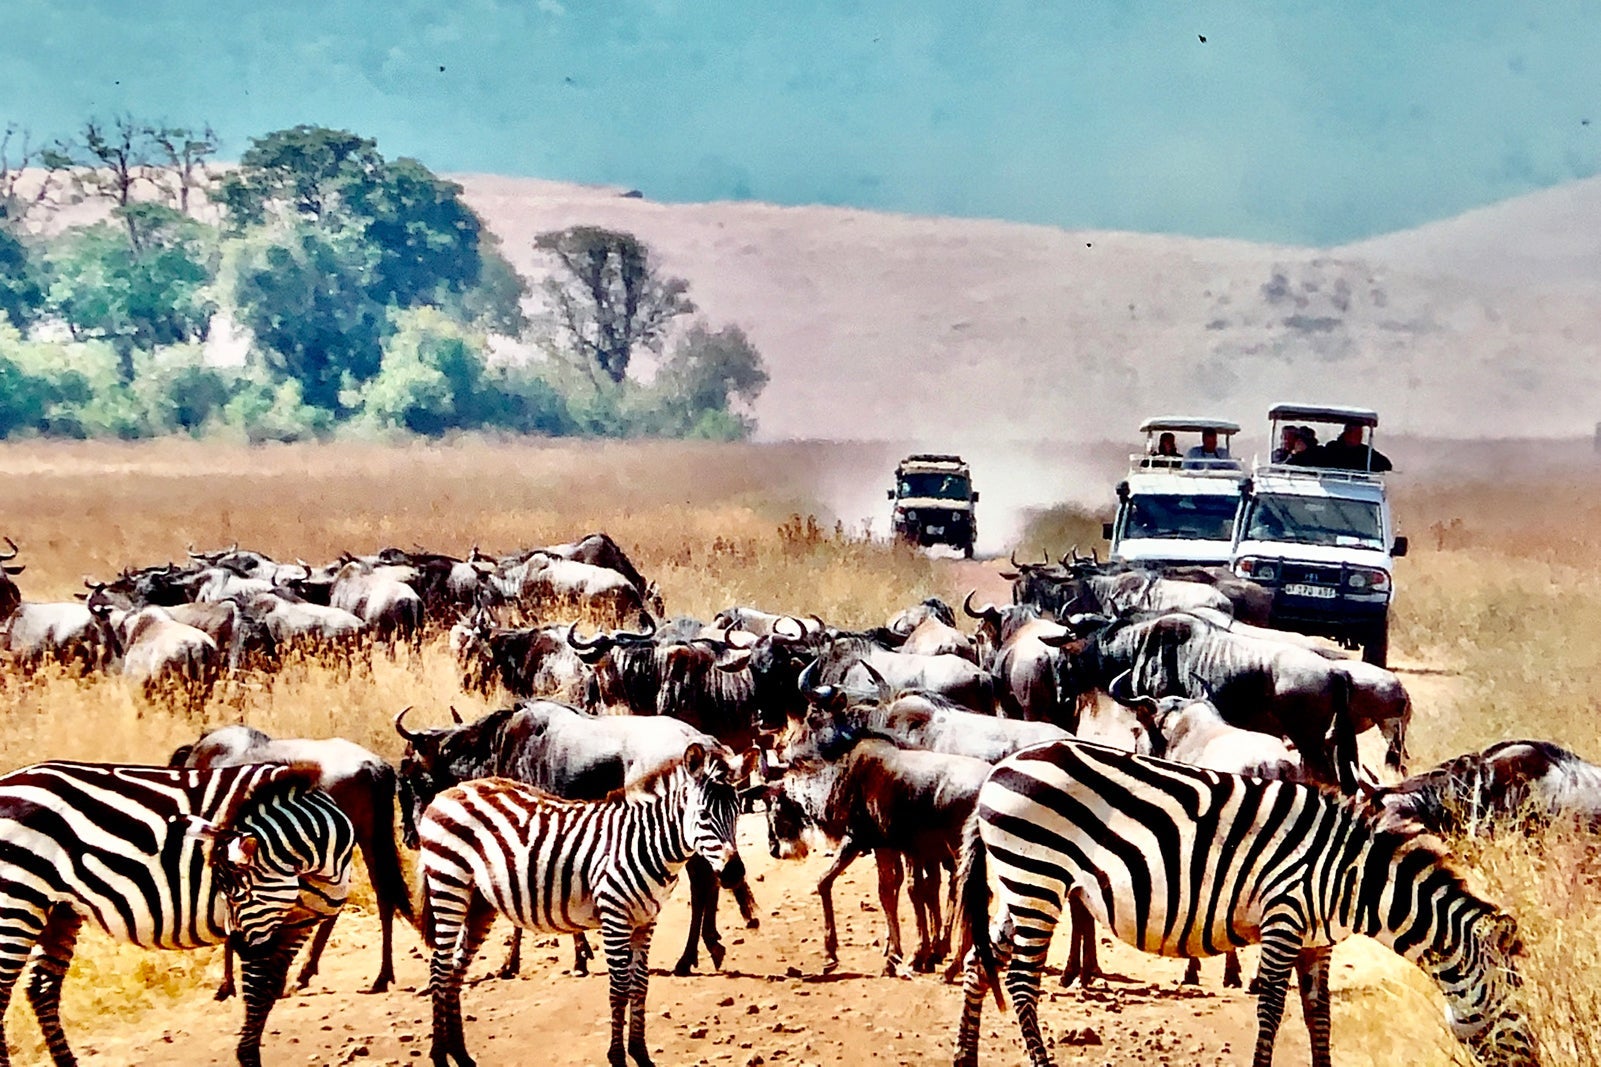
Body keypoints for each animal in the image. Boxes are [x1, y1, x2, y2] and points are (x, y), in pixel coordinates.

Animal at [0, 759, 355, 1067]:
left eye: (237, 892)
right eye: (227, 892)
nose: (235, 945)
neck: (320, 863)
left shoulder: (296, 924)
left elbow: (267, 991)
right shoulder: (266, 926)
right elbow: (257, 991)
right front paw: (247, 1056)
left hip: (58, 908)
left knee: (42, 986)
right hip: (16, 900)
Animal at [419, 743, 744, 1067]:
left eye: (737, 812)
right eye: (702, 814)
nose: (734, 873)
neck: (644, 842)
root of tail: (449, 792)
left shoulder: (646, 920)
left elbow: (640, 985)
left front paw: (641, 1054)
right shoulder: (615, 917)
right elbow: (619, 988)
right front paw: (617, 1057)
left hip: (479, 903)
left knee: (455, 970)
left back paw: (461, 1055)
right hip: (449, 885)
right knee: (439, 968)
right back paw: (439, 1055)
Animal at [952, 739, 1536, 1067]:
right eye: (1517, 998)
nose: (1533, 1057)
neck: (1354, 879)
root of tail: (998, 770)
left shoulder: (1317, 942)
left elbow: (1319, 1015)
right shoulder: (1284, 920)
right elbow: (1272, 1010)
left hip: (1020, 887)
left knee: (981, 966)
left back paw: (965, 1060)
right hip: (1038, 879)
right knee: (1021, 984)